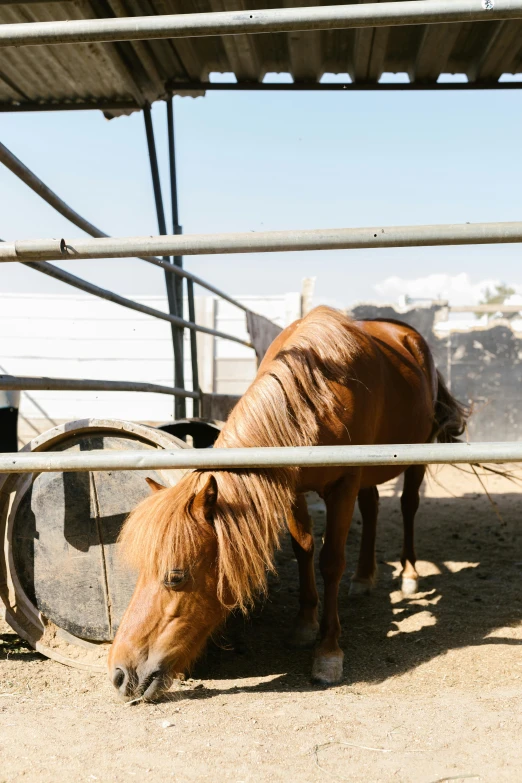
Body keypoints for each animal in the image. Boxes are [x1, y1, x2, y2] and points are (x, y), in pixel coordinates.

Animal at [107, 304, 466, 700]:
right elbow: (304, 548)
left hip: (417, 453)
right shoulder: (292, 486)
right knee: (372, 507)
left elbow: (330, 561)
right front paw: (305, 624)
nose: (120, 673)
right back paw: (363, 578)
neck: (319, 393)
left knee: (408, 506)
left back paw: (409, 574)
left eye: (175, 576)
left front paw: (327, 651)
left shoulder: (343, 485)